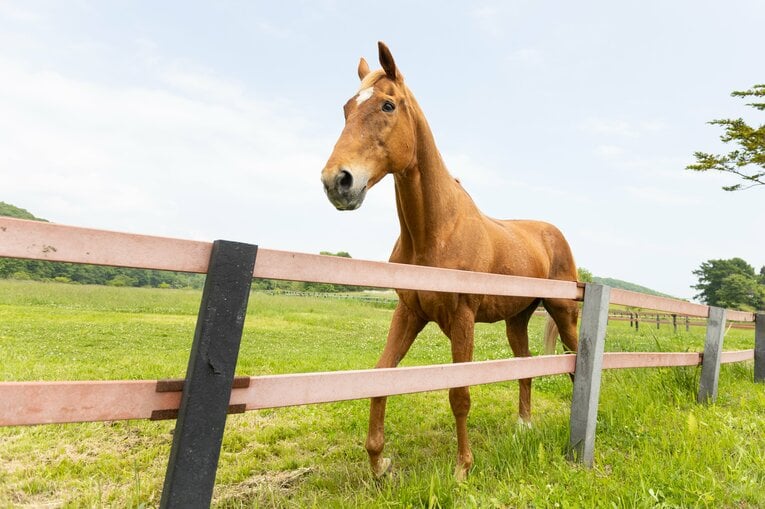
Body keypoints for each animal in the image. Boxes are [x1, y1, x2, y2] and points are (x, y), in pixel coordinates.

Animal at [320, 42, 579, 481]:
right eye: (346, 108)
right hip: (516, 319)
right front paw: (378, 462)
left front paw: (462, 468)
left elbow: (459, 394)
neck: (437, 232)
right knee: (524, 364)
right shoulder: (409, 313)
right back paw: (524, 424)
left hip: (563, 312)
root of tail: (553, 233)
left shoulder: (462, 318)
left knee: (578, 359)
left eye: (388, 105)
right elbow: (381, 375)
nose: (337, 182)